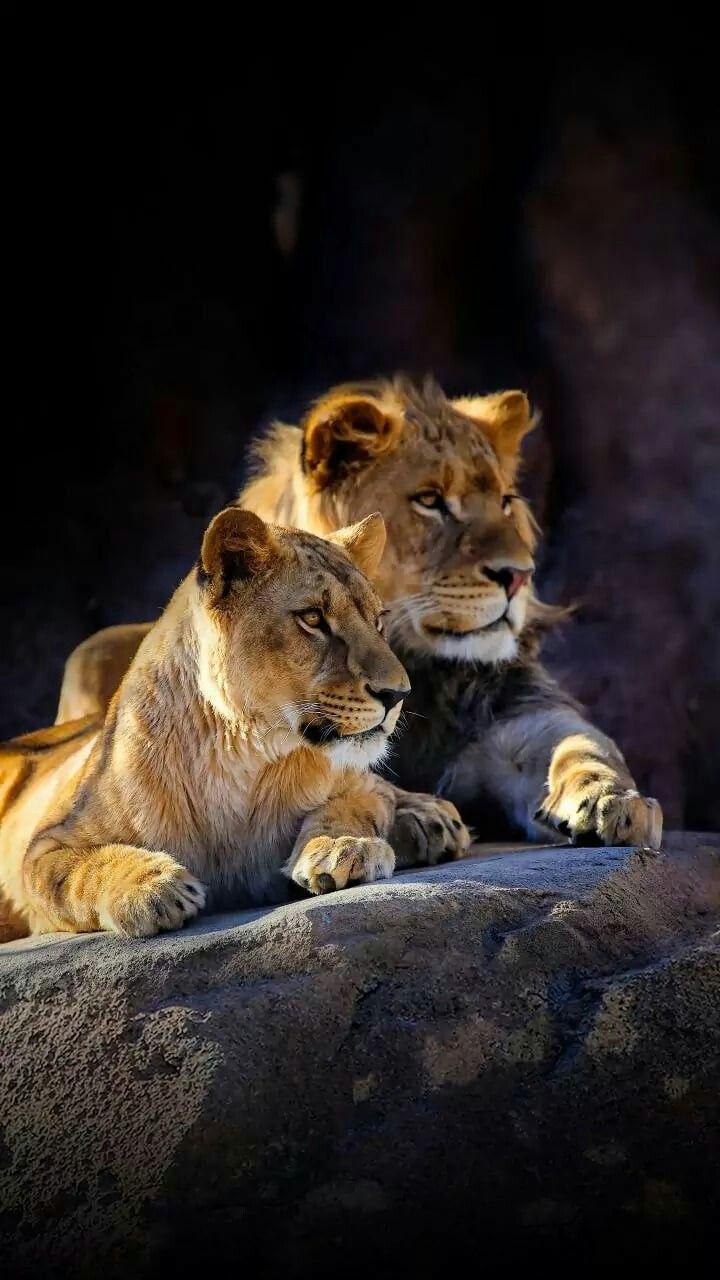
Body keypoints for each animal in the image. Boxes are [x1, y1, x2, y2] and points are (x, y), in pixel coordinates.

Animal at [0, 507, 469, 939]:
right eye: (313, 618)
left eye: (377, 621)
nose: (397, 694)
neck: (239, 754)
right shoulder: (44, 847)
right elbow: (84, 871)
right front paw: (152, 887)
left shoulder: (354, 785)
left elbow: (357, 804)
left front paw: (343, 848)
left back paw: (431, 819)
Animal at [56, 377, 662, 849]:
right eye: (430, 500)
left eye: (506, 502)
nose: (518, 575)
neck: (423, 668)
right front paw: (416, 811)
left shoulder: (518, 718)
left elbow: (583, 744)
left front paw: (612, 798)